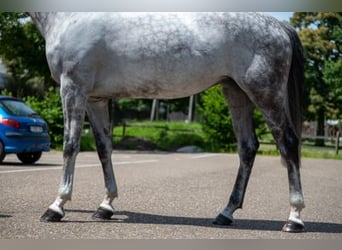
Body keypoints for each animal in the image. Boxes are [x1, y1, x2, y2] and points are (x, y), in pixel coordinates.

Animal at [30, 12, 304, 232]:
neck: (69, 16)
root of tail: (280, 25)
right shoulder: (96, 99)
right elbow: (103, 149)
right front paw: (105, 206)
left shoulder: (73, 87)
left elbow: (70, 146)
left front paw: (56, 207)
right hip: (236, 93)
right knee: (247, 147)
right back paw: (225, 213)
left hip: (264, 93)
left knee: (288, 144)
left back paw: (294, 218)